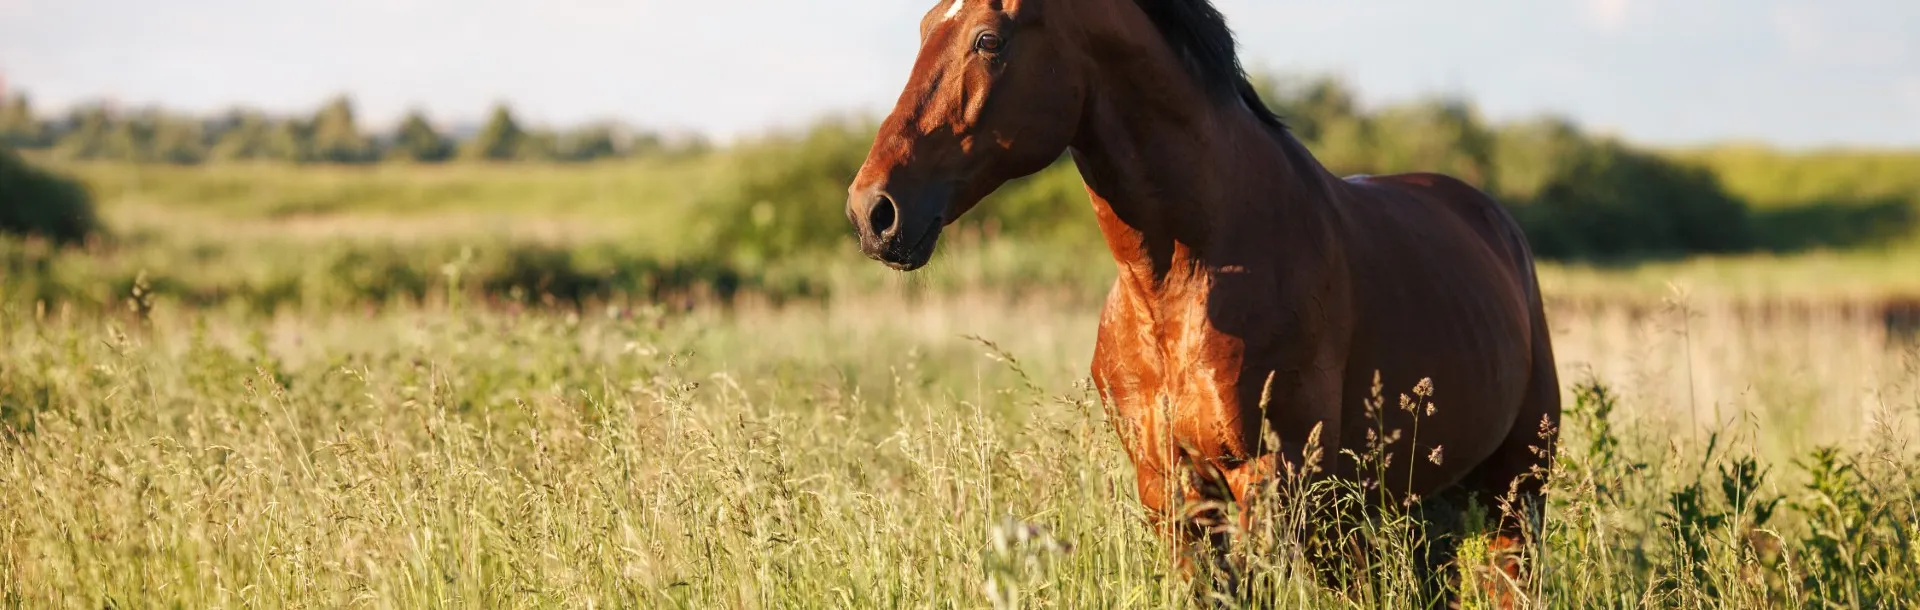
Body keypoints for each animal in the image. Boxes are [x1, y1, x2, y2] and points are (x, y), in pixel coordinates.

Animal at [843, 0, 1561, 603]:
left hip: (1514, 492)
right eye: (923, 27)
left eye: (988, 38)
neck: (1185, 284)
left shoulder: (1270, 479)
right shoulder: (1169, 488)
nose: (873, 211)